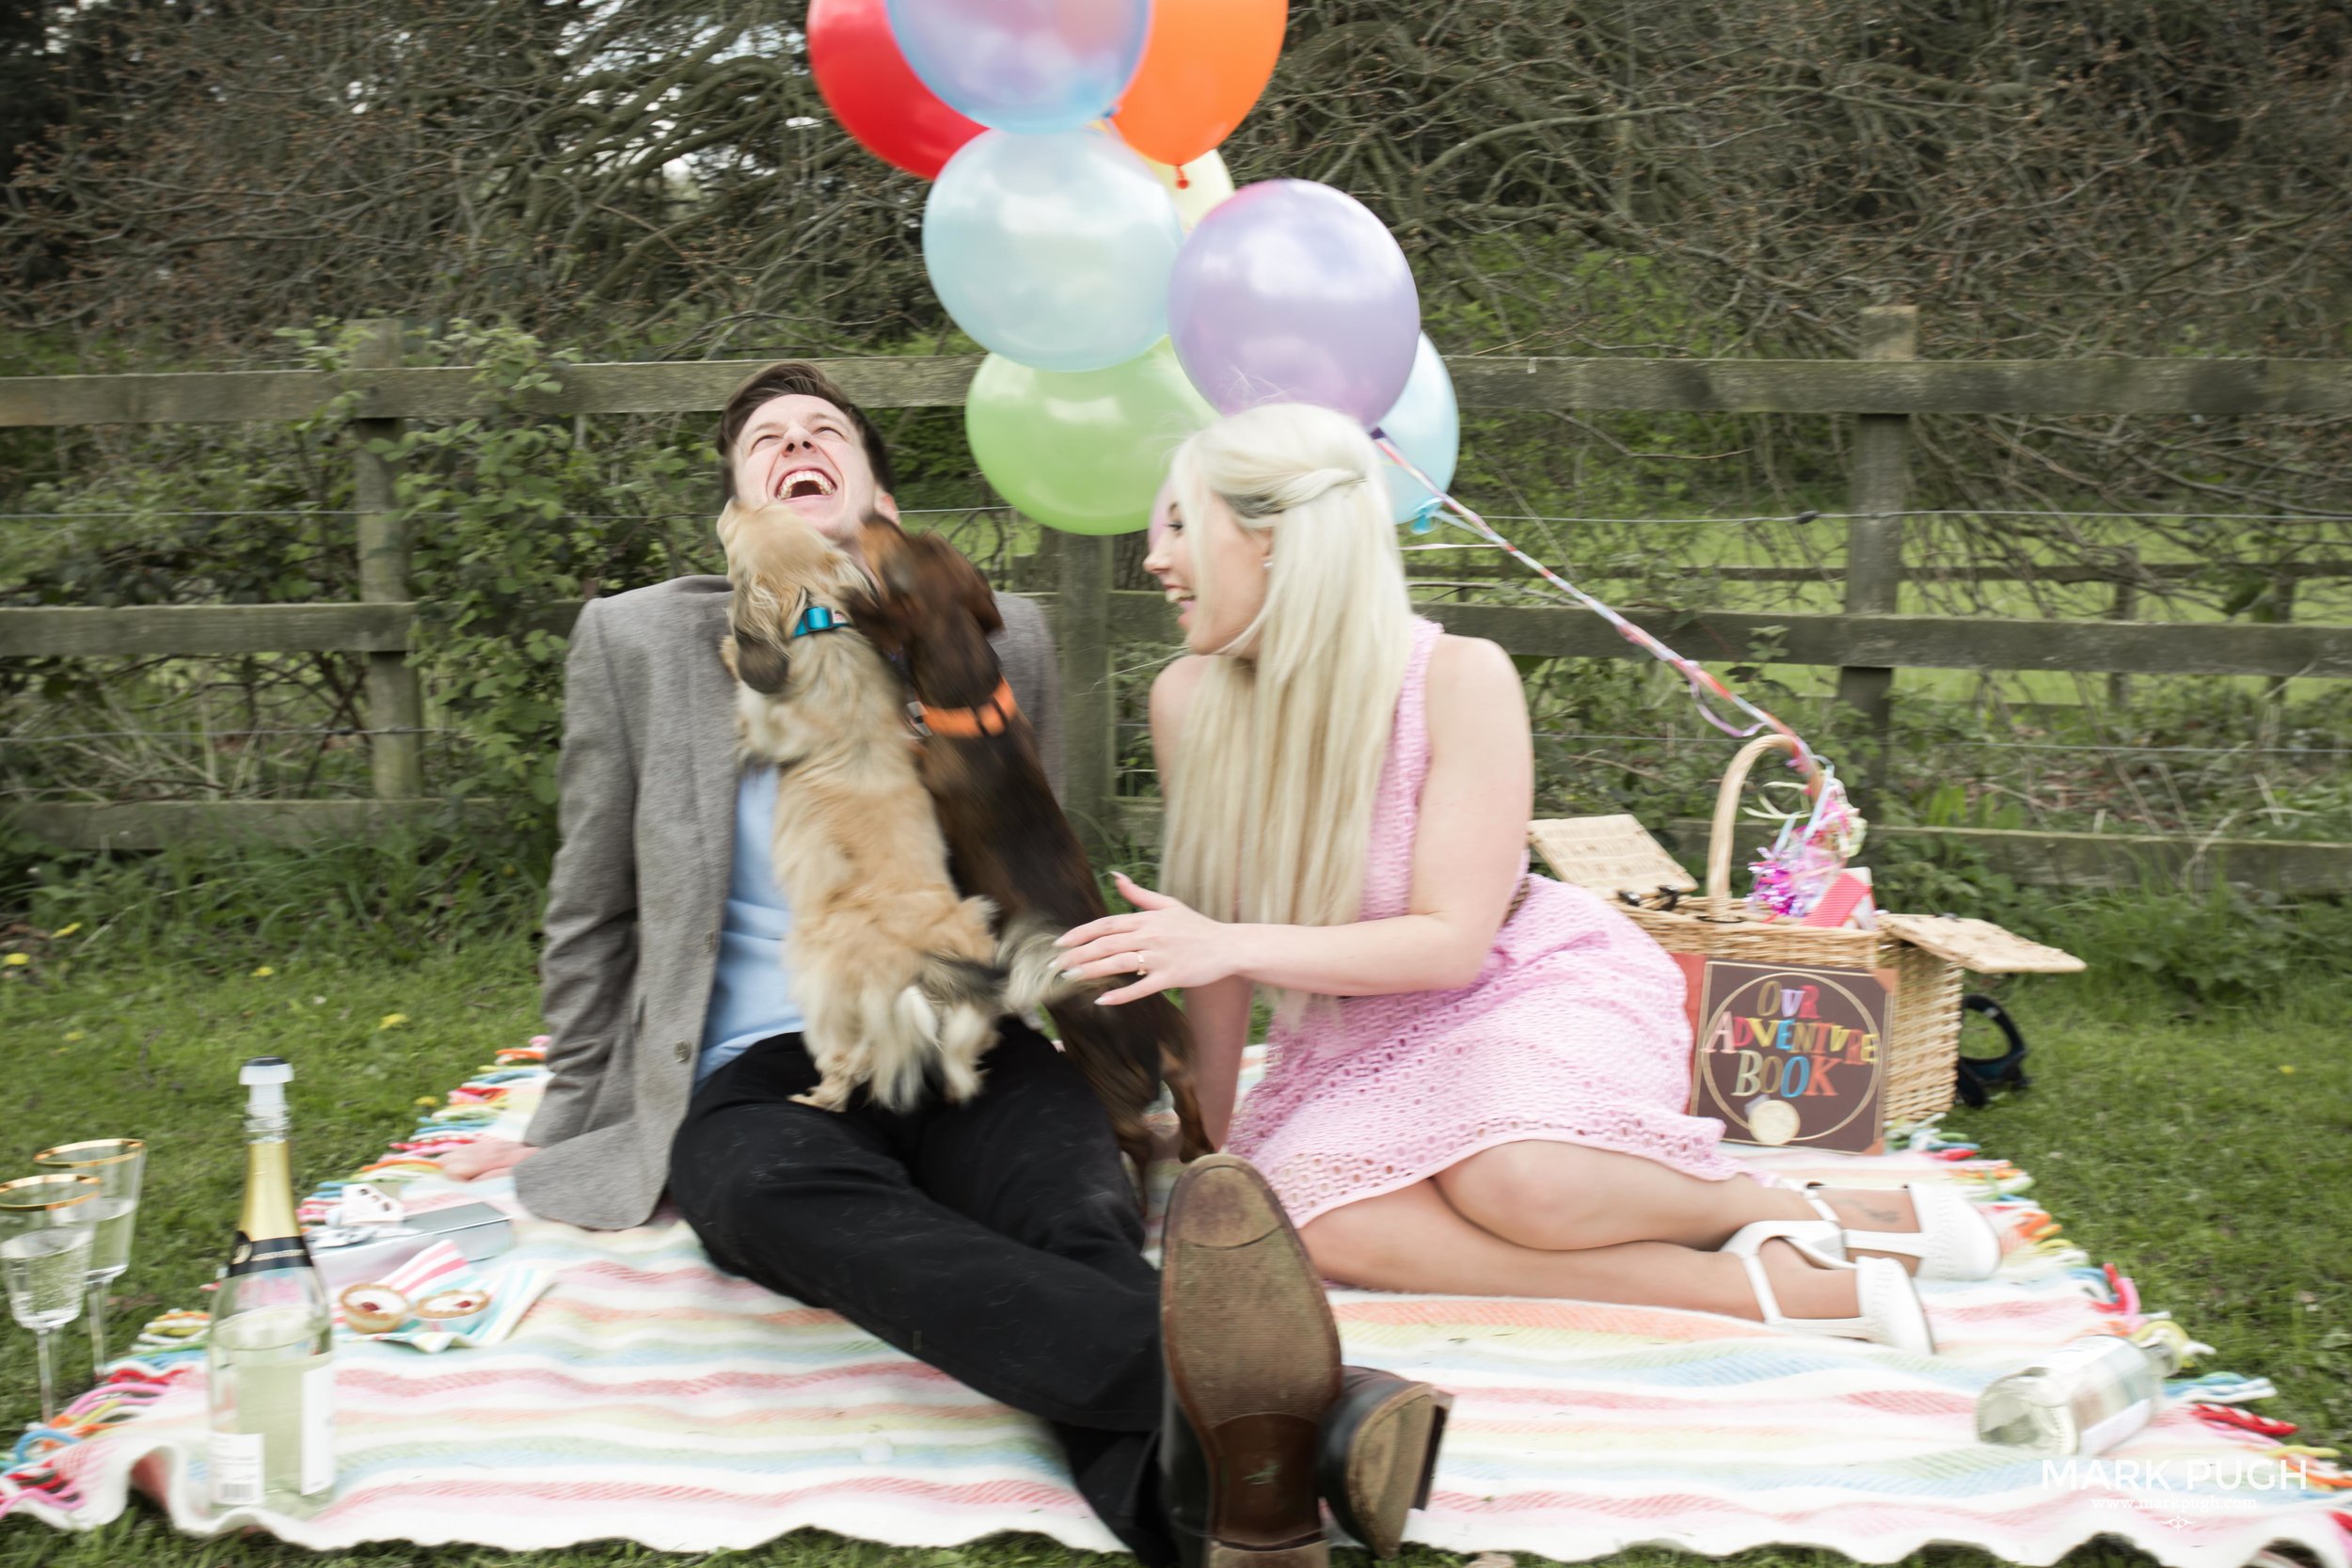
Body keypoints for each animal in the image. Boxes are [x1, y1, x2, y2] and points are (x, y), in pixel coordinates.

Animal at [715, 502, 1011, 1114]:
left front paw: (729, 649)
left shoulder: (761, 722)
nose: (733, 503)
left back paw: (814, 1097)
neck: (818, 618)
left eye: (738, 527)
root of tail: (922, 967)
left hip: (816, 978)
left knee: (846, 1064)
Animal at [847, 516, 1214, 1189]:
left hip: (1104, 1083)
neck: (974, 710)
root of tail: (1156, 1042)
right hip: (1186, 1067)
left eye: (901, 545)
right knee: (1197, 1131)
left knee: (1141, 1143)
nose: (873, 518)